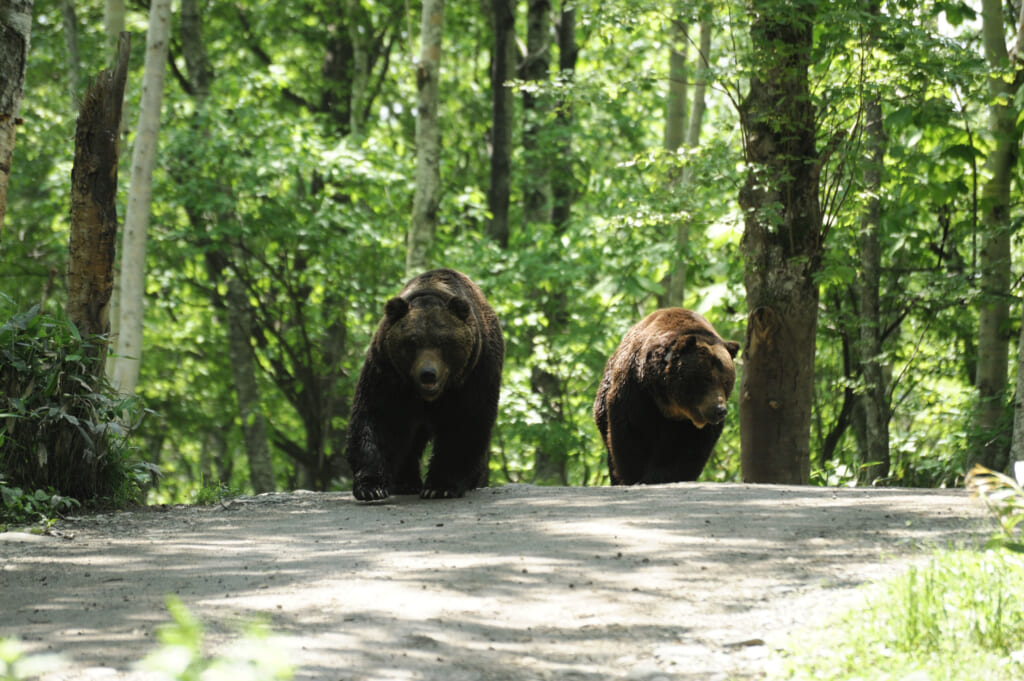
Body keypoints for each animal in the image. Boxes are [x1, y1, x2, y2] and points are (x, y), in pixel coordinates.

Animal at [346, 270, 501, 499]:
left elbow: (465, 422)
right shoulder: (388, 372)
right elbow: (380, 418)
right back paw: (405, 482)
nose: (428, 374)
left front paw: (441, 486)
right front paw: (371, 486)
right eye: (412, 341)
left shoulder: (475, 374)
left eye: (444, 342)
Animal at [593, 307, 745, 483]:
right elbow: (632, 433)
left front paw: (662, 476)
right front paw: (635, 476)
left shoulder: (690, 425)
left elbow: (687, 449)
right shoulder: (636, 390)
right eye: (706, 378)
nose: (720, 410)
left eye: (726, 381)